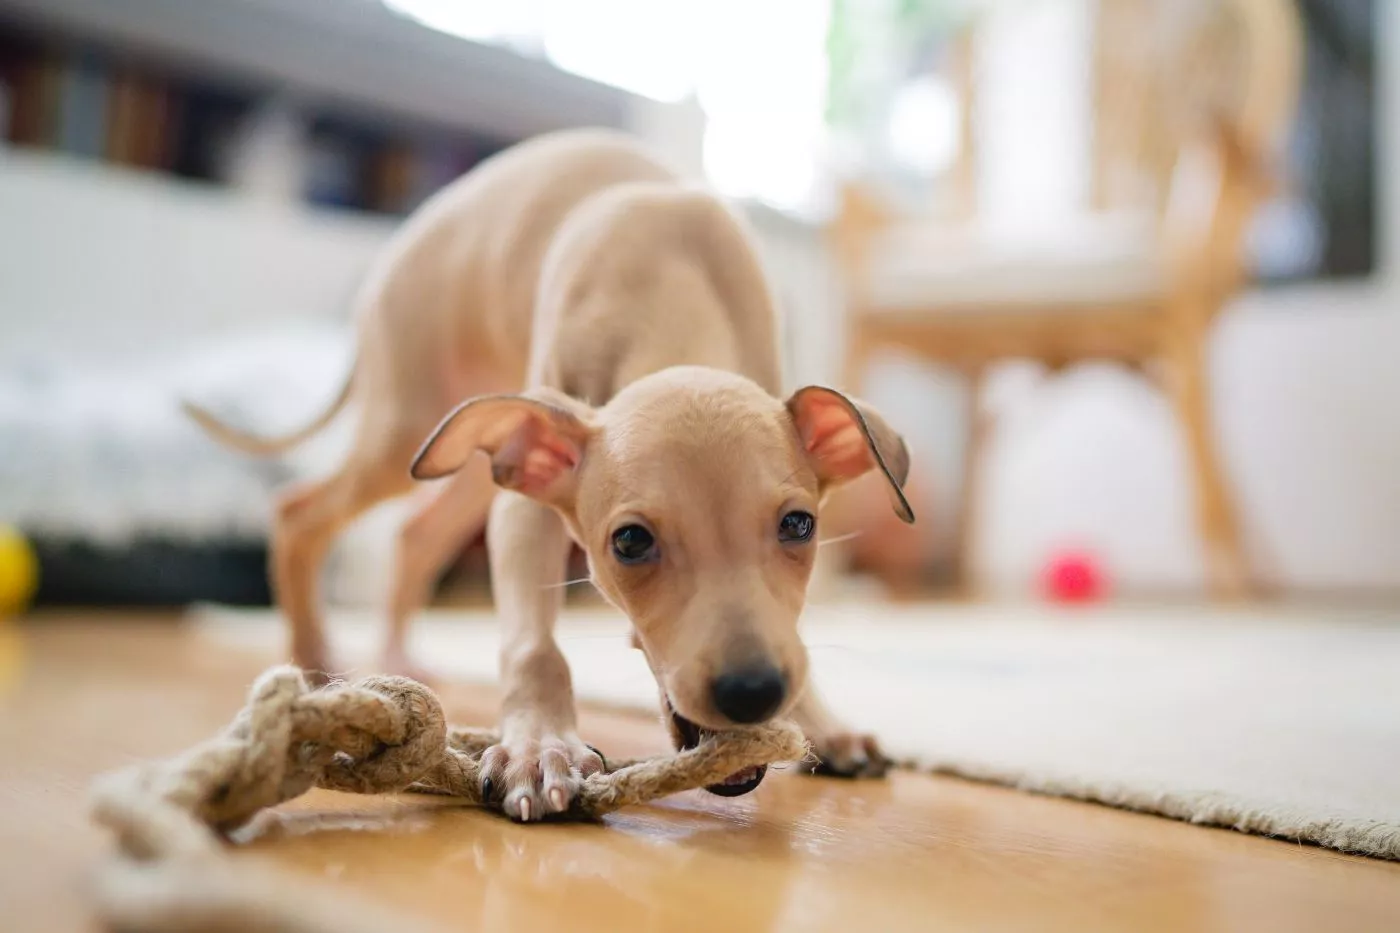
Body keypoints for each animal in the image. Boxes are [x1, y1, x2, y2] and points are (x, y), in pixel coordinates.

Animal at [186, 128, 912, 812]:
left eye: (799, 525)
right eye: (630, 542)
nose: (753, 691)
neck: (675, 286)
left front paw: (823, 721)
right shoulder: (528, 506)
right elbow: (535, 645)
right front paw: (539, 747)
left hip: (478, 458)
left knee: (415, 534)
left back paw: (394, 654)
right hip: (409, 431)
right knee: (300, 510)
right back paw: (312, 655)